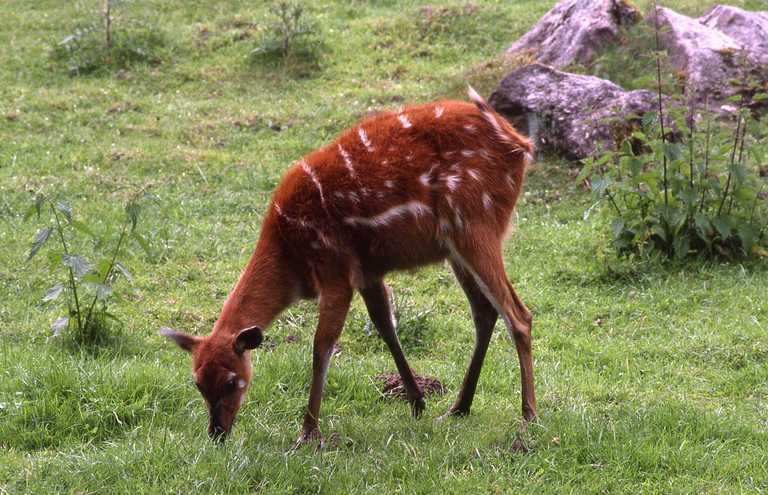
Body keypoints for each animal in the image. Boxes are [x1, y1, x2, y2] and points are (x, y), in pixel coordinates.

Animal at [160, 86, 536, 450]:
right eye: (197, 383)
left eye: (230, 381)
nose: (217, 433)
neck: (290, 256)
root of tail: (521, 144)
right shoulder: (367, 271)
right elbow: (385, 325)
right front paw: (417, 402)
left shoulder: (335, 269)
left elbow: (322, 345)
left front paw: (308, 433)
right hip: (454, 247)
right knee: (485, 311)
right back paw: (458, 408)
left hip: (475, 226)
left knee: (518, 314)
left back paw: (528, 418)